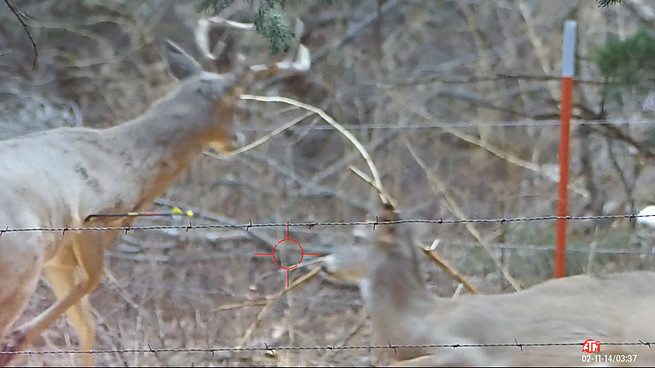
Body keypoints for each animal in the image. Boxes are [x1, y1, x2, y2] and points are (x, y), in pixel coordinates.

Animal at [0, 16, 312, 366]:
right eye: (238, 106)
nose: (237, 139)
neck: (129, 163)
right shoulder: (94, 218)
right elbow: (92, 282)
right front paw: (17, 339)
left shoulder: (58, 259)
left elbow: (86, 325)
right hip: (20, 267)